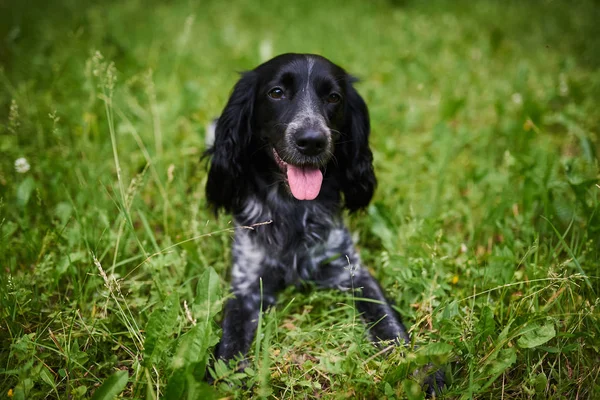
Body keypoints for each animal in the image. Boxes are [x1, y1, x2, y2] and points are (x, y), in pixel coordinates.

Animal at [206, 54, 446, 396]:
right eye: (276, 92)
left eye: (333, 97)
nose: (311, 141)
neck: (293, 208)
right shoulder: (246, 285)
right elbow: (228, 344)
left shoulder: (352, 270)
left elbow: (390, 325)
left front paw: (423, 370)